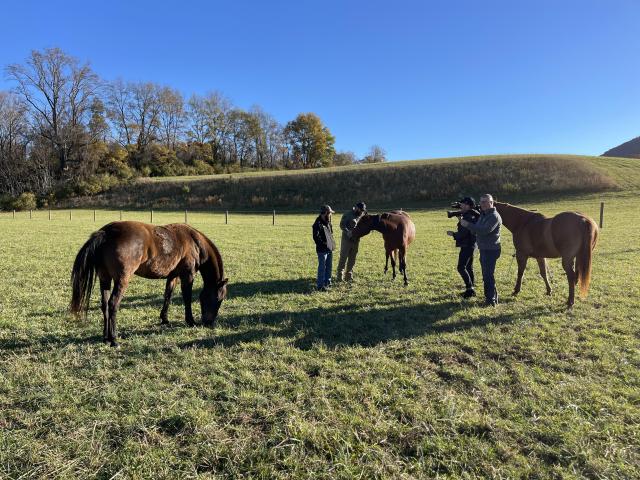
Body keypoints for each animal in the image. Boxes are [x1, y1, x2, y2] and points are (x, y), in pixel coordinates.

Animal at [70, 221, 228, 344]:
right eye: (218, 298)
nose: (209, 322)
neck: (194, 242)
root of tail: (106, 232)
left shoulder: (173, 276)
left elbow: (168, 295)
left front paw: (164, 319)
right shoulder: (187, 275)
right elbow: (187, 298)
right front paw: (190, 321)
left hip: (105, 278)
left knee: (105, 305)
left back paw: (105, 337)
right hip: (122, 280)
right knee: (113, 304)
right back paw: (114, 339)